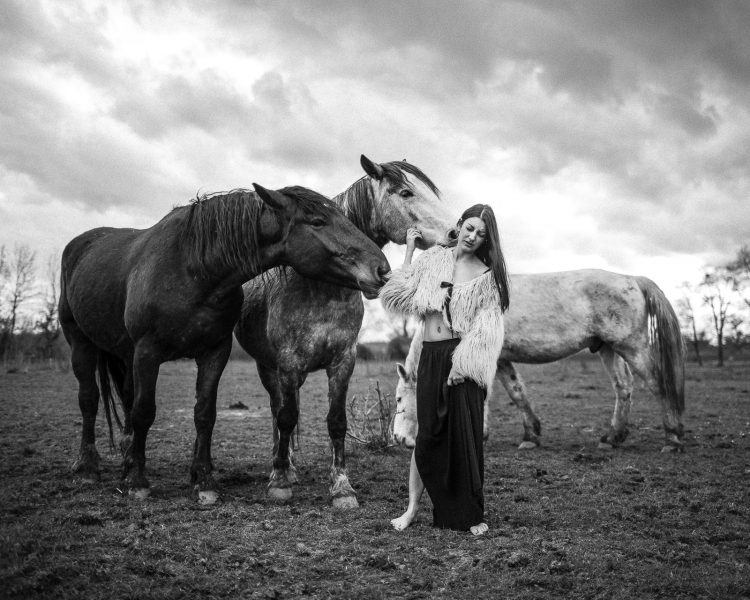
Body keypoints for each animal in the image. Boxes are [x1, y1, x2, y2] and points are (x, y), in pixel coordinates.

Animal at [59, 184, 390, 502]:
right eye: (318, 221)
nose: (382, 269)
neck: (191, 271)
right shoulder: (147, 352)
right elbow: (144, 411)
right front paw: (138, 483)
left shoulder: (215, 352)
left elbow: (204, 414)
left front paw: (204, 483)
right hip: (82, 343)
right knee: (89, 399)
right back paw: (87, 468)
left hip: (127, 356)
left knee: (125, 399)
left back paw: (126, 462)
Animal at [235, 155, 458, 506]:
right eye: (406, 192)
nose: (454, 231)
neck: (321, 285)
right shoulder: (288, 362)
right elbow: (285, 418)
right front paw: (280, 482)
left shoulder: (343, 360)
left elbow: (336, 422)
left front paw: (342, 487)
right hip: (267, 367)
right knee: (277, 412)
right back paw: (282, 467)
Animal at [394, 270, 688, 452]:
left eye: (398, 399)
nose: (398, 439)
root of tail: (632, 280)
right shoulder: (501, 361)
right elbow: (517, 392)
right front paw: (531, 436)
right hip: (608, 348)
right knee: (623, 387)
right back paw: (611, 438)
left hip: (631, 346)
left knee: (658, 385)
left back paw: (672, 438)